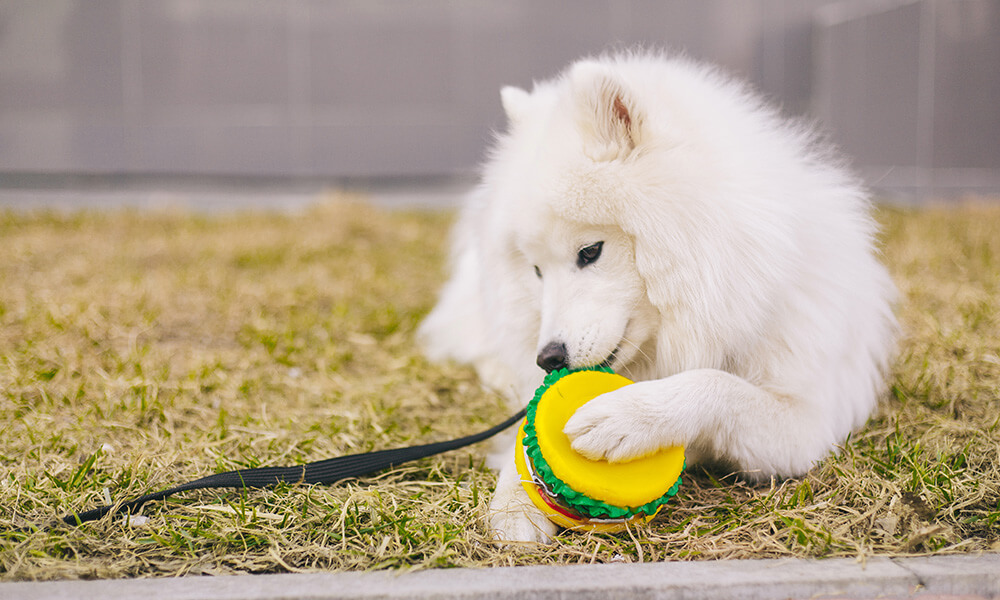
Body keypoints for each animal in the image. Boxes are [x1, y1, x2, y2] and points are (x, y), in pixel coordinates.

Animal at [414, 52, 900, 544]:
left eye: (590, 252)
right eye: (535, 271)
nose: (548, 358)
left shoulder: (808, 422)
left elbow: (716, 383)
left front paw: (630, 415)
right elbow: (522, 439)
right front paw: (514, 503)